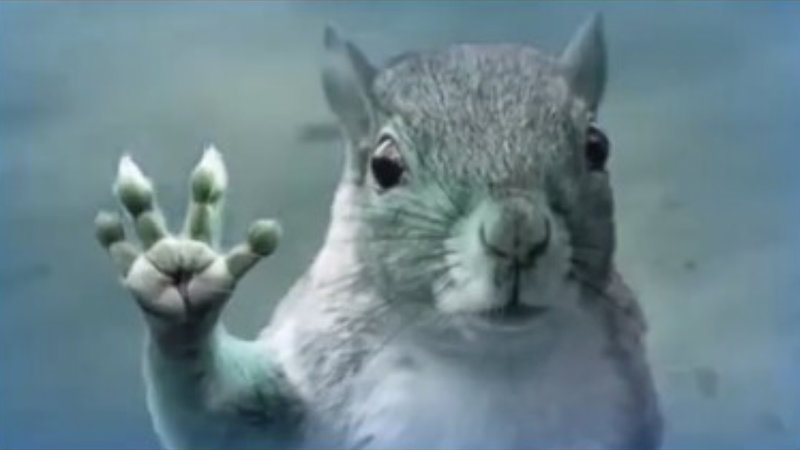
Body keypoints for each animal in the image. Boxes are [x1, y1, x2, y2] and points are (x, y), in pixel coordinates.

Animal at [94, 13, 662, 450]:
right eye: (385, 167)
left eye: (597, 146)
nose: (517, 234)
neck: (496, 359)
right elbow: (220, 415)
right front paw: (182, 283)